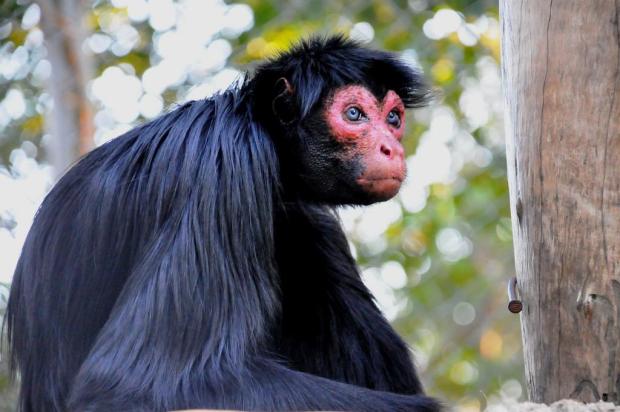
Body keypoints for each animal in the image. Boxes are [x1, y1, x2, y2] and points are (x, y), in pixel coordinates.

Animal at [6, 36, 440, 412]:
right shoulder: (224, 164)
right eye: (354, 114)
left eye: (394, 119)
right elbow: (129, 380)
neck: (253, 122)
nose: (392, 147)